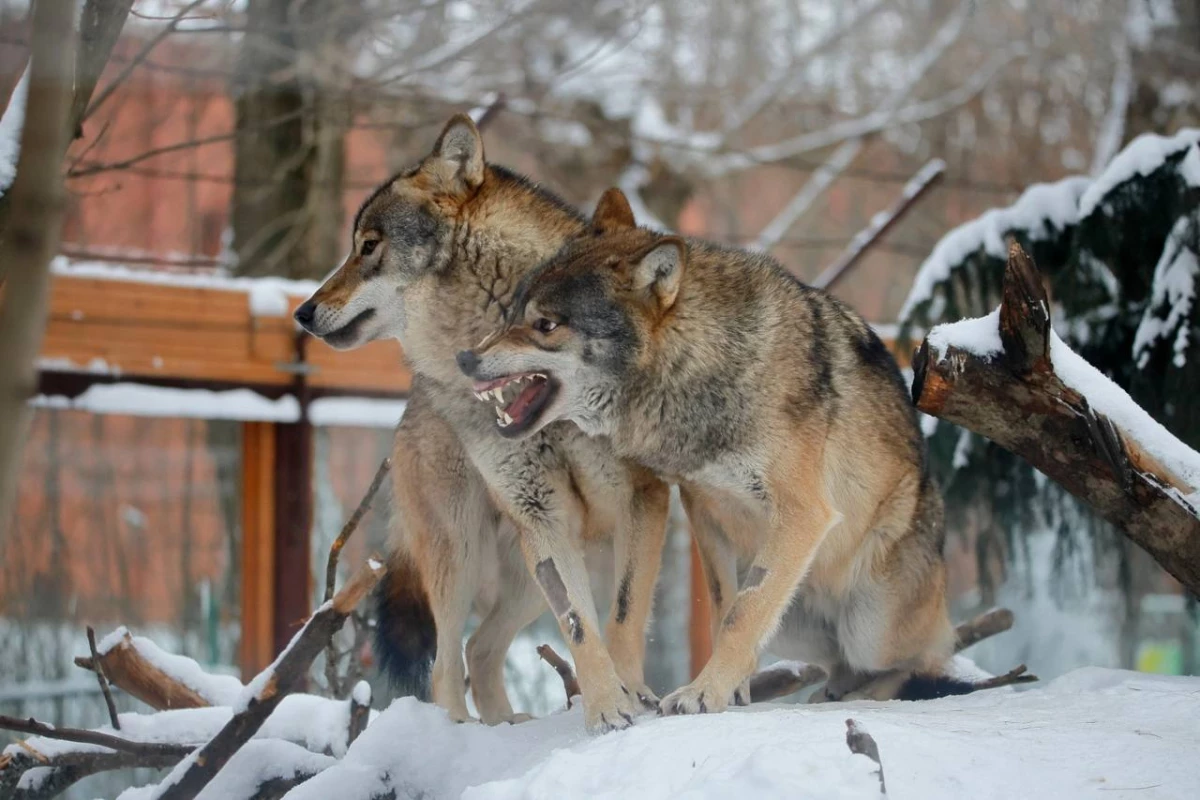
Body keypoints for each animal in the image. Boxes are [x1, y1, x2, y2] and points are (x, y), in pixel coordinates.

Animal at [453, 190, 969, 714]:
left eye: (545, 324)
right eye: (513, 313)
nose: (466, 358)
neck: (702, 367)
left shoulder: (803, 513)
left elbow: (745, 613)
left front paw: (704, 694)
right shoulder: (704, 508)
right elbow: (726, 609)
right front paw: (731, 693)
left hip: (871, 627)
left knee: (925, 659)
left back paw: (865, 695)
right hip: (797, 625)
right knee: (841, 663)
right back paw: (830, 694)